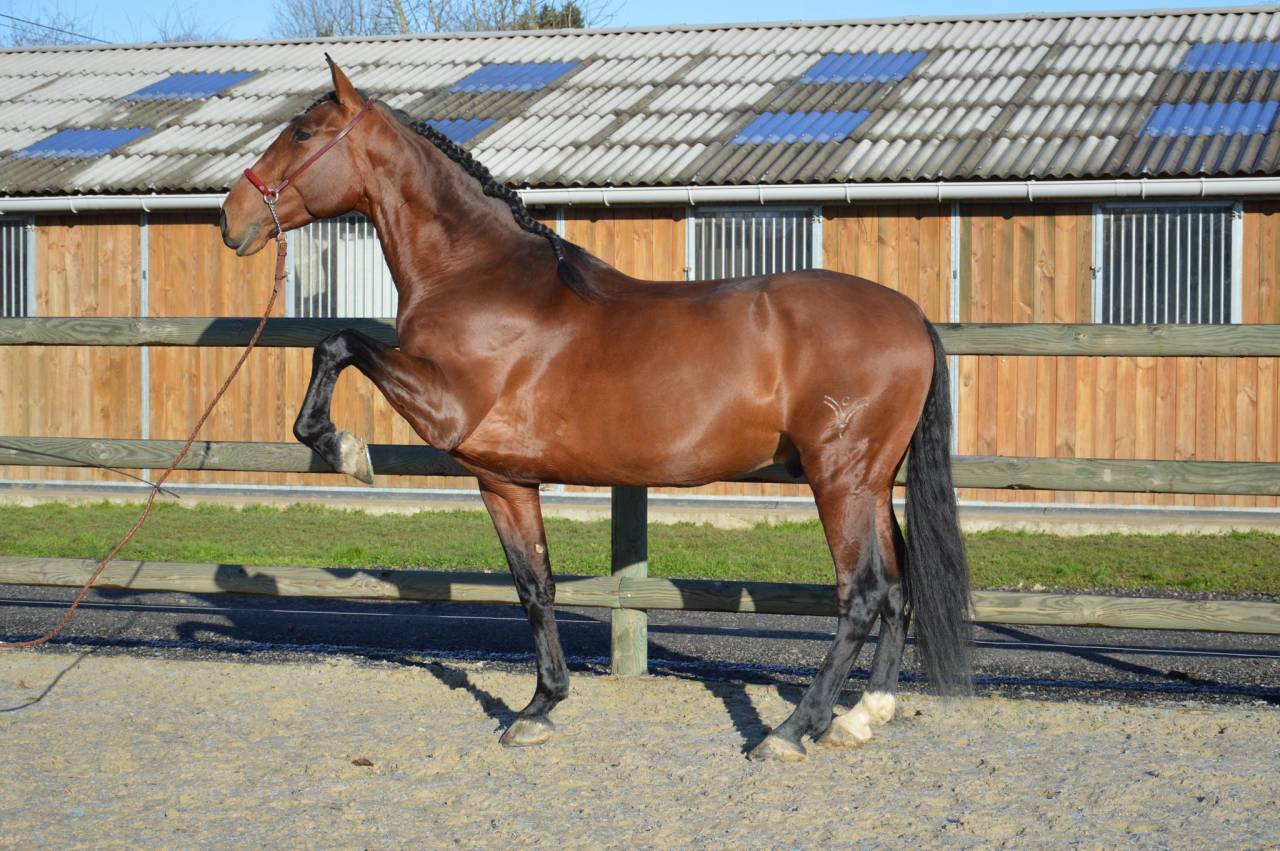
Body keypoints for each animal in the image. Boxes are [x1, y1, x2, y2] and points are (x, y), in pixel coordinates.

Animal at [220, 58, 971, 762]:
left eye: (303, 133)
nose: (232, 216)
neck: (478, 275)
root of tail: (911, 316)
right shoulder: (503, 479)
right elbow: (536, 587)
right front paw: (538, 708)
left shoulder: (445, 409)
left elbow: (338, 341)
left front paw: (344, 448)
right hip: (871, 482)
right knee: (896, 588)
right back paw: (862, 715)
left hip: (838, 479)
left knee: (861, 594)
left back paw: (791, 729)